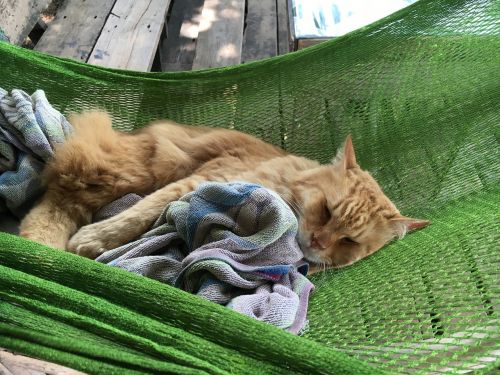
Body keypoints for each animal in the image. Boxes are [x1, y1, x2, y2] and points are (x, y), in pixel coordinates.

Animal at [18, 110, 426, 272]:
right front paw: (95, 239)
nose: (319, 242)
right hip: (132, 169)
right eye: (327, 210)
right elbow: (139, 214)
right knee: (57, 199)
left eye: (349, 242)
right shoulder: (199, 180)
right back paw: (43, 246)